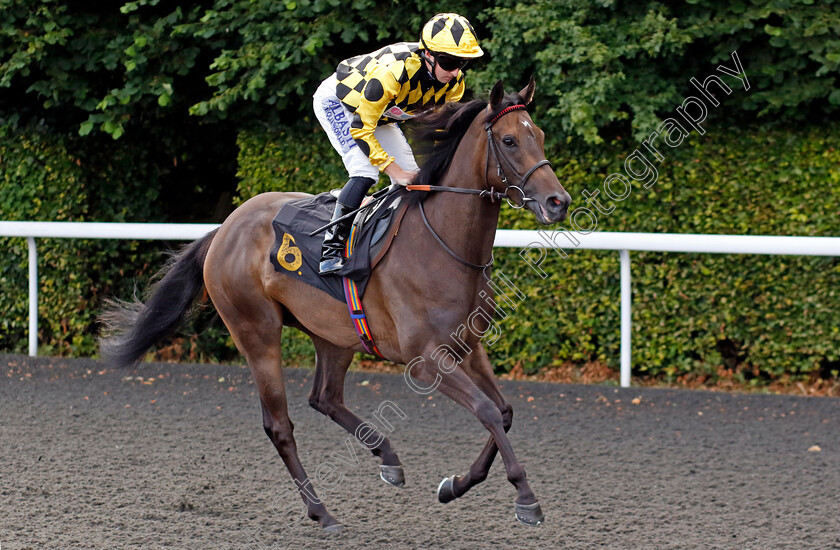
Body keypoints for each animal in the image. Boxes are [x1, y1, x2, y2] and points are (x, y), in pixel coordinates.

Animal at [100, 80, 572, 532]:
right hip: (256, 332)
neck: (442, 243)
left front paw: (454, 485)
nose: (558, 202)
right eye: (509, 140)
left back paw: (387, 458)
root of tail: (224, 229)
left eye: (540, 135)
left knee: (324, 397)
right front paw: (525, 498)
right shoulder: (425, 360)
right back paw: (321, 512)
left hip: (335, 333)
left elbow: (503, 412)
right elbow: (488, 410)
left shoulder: (467, 346)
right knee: (280, 425)